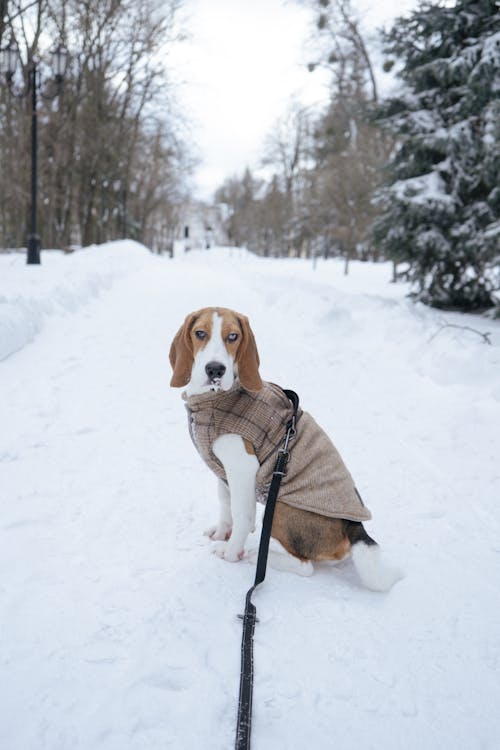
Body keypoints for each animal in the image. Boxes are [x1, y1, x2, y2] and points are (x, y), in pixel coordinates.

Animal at [171, 308, 402, 592]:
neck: (215, 398)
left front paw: (231, 551)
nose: (215, 369)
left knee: (305, 566)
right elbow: (226, 504)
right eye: (200, 333)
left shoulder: (242, 468)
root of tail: (354, 527)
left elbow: (241, 513)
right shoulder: (223, 471)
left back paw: (255, 556)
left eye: (233, 336)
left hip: (280, 507)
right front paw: (222, 532)